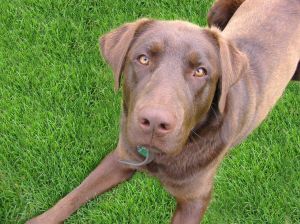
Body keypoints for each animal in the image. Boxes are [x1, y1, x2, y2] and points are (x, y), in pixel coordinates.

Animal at [27, 0, 298, 222]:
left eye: (200, 71)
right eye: (143, 59)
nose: (155, 122)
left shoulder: (195, 200)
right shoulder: (122, 154)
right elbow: (73, 195)